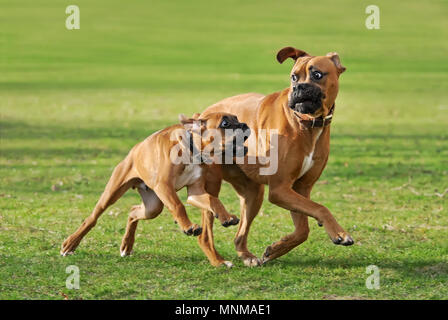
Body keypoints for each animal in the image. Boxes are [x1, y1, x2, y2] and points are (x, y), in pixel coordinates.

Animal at [60, 111, 250, 266]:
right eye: (225, 123)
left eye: (237, 118)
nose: (245, 125)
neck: (192, 149)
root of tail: (135, 150)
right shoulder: (164, 186)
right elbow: (178, 206)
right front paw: (188, 226)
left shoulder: (196, 193)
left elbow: (213, 200)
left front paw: (226, 217)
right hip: (113, 193)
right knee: (92, 218)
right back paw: (70, 244)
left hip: (153, 207)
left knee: (133, 212)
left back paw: (127, 245)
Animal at [200, 46, 354, 266]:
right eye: (293, 77)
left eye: (317, 75)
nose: (298, 88)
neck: (306, 124)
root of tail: (201, 116)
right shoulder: (280, 189)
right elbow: (320, 208)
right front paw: (339, 234)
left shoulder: (299, 188)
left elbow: (303, 229)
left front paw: (276, 249)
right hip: (211, 187)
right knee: (205, 233)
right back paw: (218, 259)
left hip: (253, 194)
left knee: (239, 235)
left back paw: (247, 256)